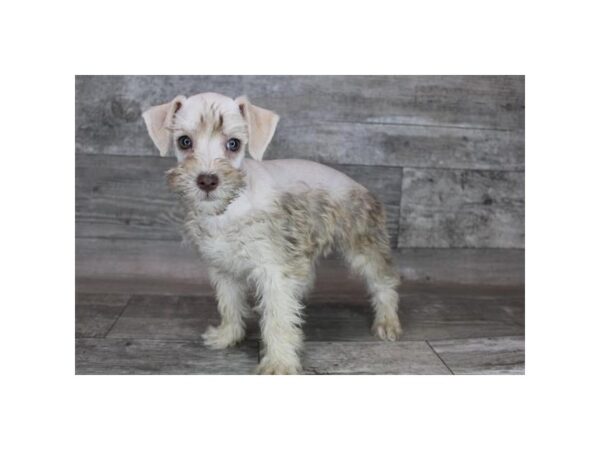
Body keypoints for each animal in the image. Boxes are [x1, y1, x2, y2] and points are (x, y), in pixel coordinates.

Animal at [143, 93, 400, 374]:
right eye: (184, 141)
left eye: (233, 144)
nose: (207, 181)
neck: (229, 210)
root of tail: (360, 186)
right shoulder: (223, 268)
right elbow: (229, 304)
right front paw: (228, 336)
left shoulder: (274, 272)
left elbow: (277, 319)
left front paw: (279, 362)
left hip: (363, 248)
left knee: (383, 283)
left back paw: (387, 322)